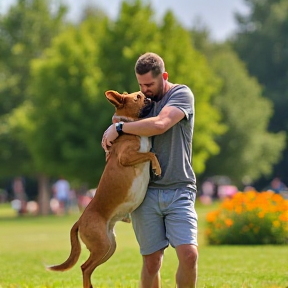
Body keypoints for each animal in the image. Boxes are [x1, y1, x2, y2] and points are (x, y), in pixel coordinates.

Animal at [46, 90, 161, 288]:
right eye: (138, 97)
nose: (148, 97)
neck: (130, 126)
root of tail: (79, 221)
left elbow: (150, 152)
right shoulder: (126, 157)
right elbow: (150, 154)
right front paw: (157, 168)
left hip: (109, 245)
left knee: (88, 268)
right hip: (103, 245)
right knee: (84, 267)